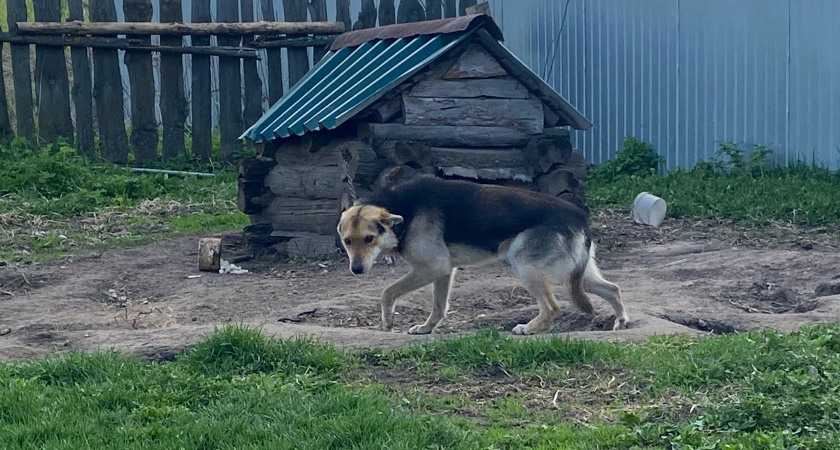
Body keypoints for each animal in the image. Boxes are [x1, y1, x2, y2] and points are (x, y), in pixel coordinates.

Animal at [338, 176, 628, 334]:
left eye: (369, 239)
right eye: (347, 241)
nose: (356, 270)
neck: (402, 210)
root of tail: (579, 217)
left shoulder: (432, 267)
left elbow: (388, 292)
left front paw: (387, 321)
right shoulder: (443, 270)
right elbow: (438, 306)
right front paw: (427, 328)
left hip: (526, 265)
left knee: (552, 306)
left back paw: (529, 328)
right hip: (576, 276)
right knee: (613, 288)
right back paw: (621, 320)